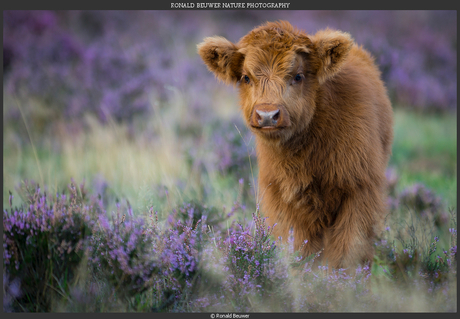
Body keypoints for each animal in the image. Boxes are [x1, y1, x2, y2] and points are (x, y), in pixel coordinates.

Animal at [196, 20, 394, 270]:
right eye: (246, 77)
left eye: (298, 76)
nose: (267, 115)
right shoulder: (282, 200)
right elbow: (299, 249)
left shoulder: (360, 191)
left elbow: (346, 250)